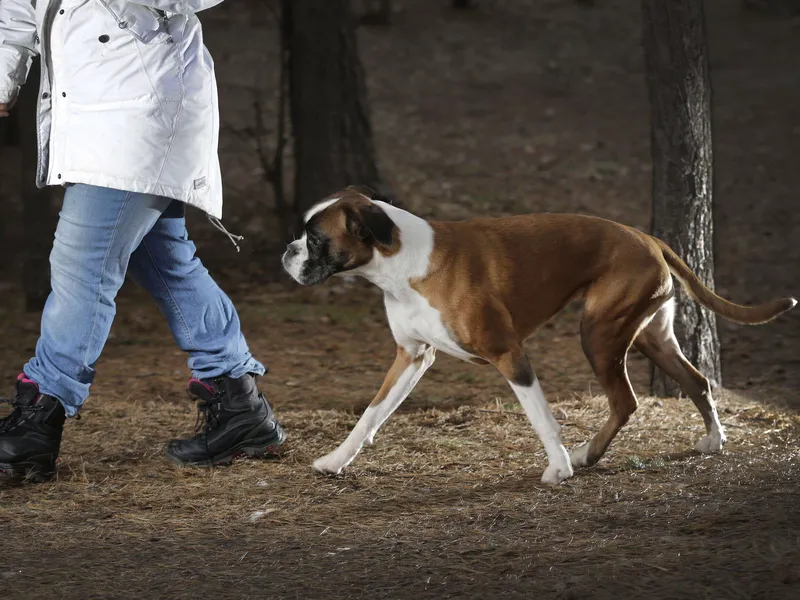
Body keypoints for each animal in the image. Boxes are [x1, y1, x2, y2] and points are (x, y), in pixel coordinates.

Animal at [282, 188, 792, 482]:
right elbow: (370, 415)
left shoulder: (510, 355)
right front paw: (336, 460)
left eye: (315, 238)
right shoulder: (411, 357)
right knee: (697, 382)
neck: (402, 264)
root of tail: (647, 238)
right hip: (651, 336)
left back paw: (586, 457)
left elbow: (542, 418)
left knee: (625, 401)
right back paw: (713, 440)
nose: (287, 251)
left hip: (599, 335)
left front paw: (560, 467)